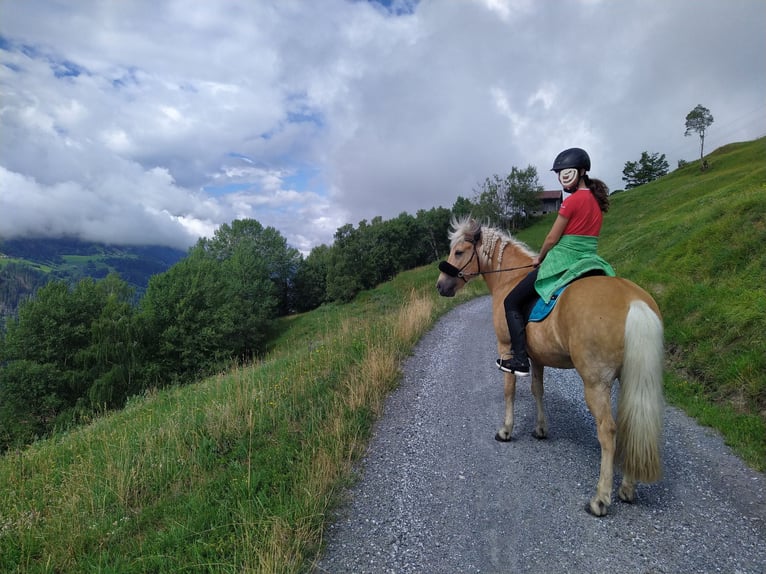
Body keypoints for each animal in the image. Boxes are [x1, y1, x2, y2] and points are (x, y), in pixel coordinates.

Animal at [438, 217, 664, 516]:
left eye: (459, 252)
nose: (441, 286)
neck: (509, 279)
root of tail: (633, 301)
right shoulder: (536, 358)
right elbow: (537, 390)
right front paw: (541, 429)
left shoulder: (506, 347)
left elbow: (509, 390)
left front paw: (506, 430)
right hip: (629, 380)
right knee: (631, 422)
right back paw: (627, 488)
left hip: (595, 383)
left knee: (607, 430)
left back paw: (600, 499)